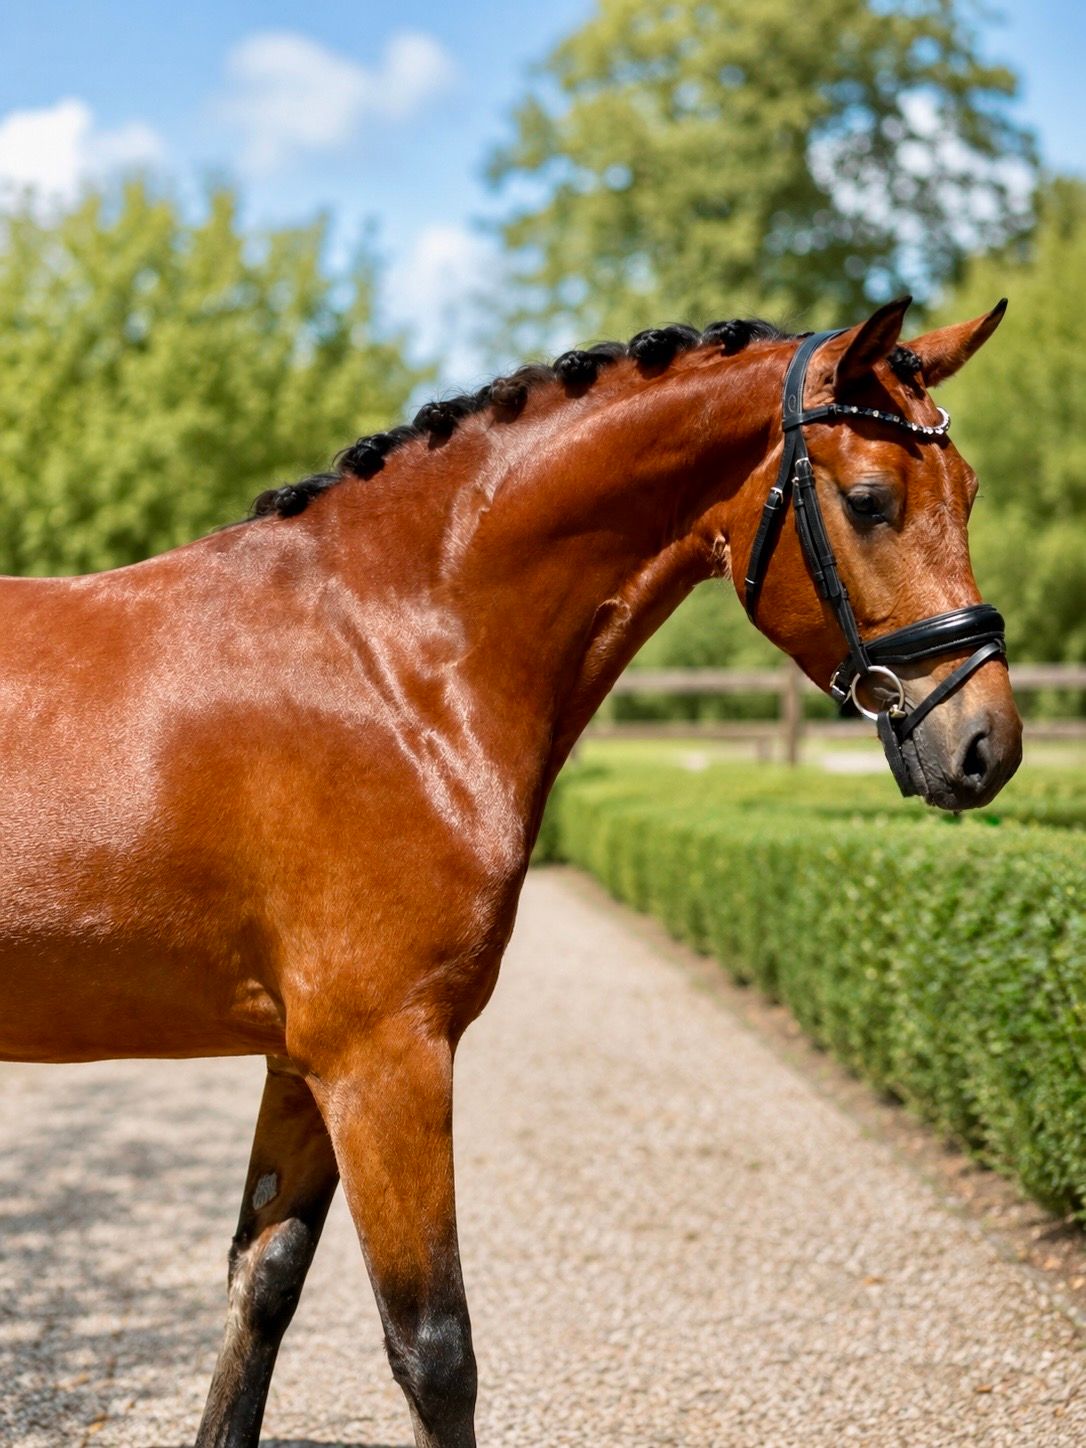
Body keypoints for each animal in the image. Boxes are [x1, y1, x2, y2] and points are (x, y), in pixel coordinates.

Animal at [0, 295, 1020, 1447]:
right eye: (870, 498)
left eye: (969, 493)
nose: (987, 744)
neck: (390, 657)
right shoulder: (385, 1057)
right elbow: (436, 1350)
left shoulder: (303, 1063)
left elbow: (261, 1287)